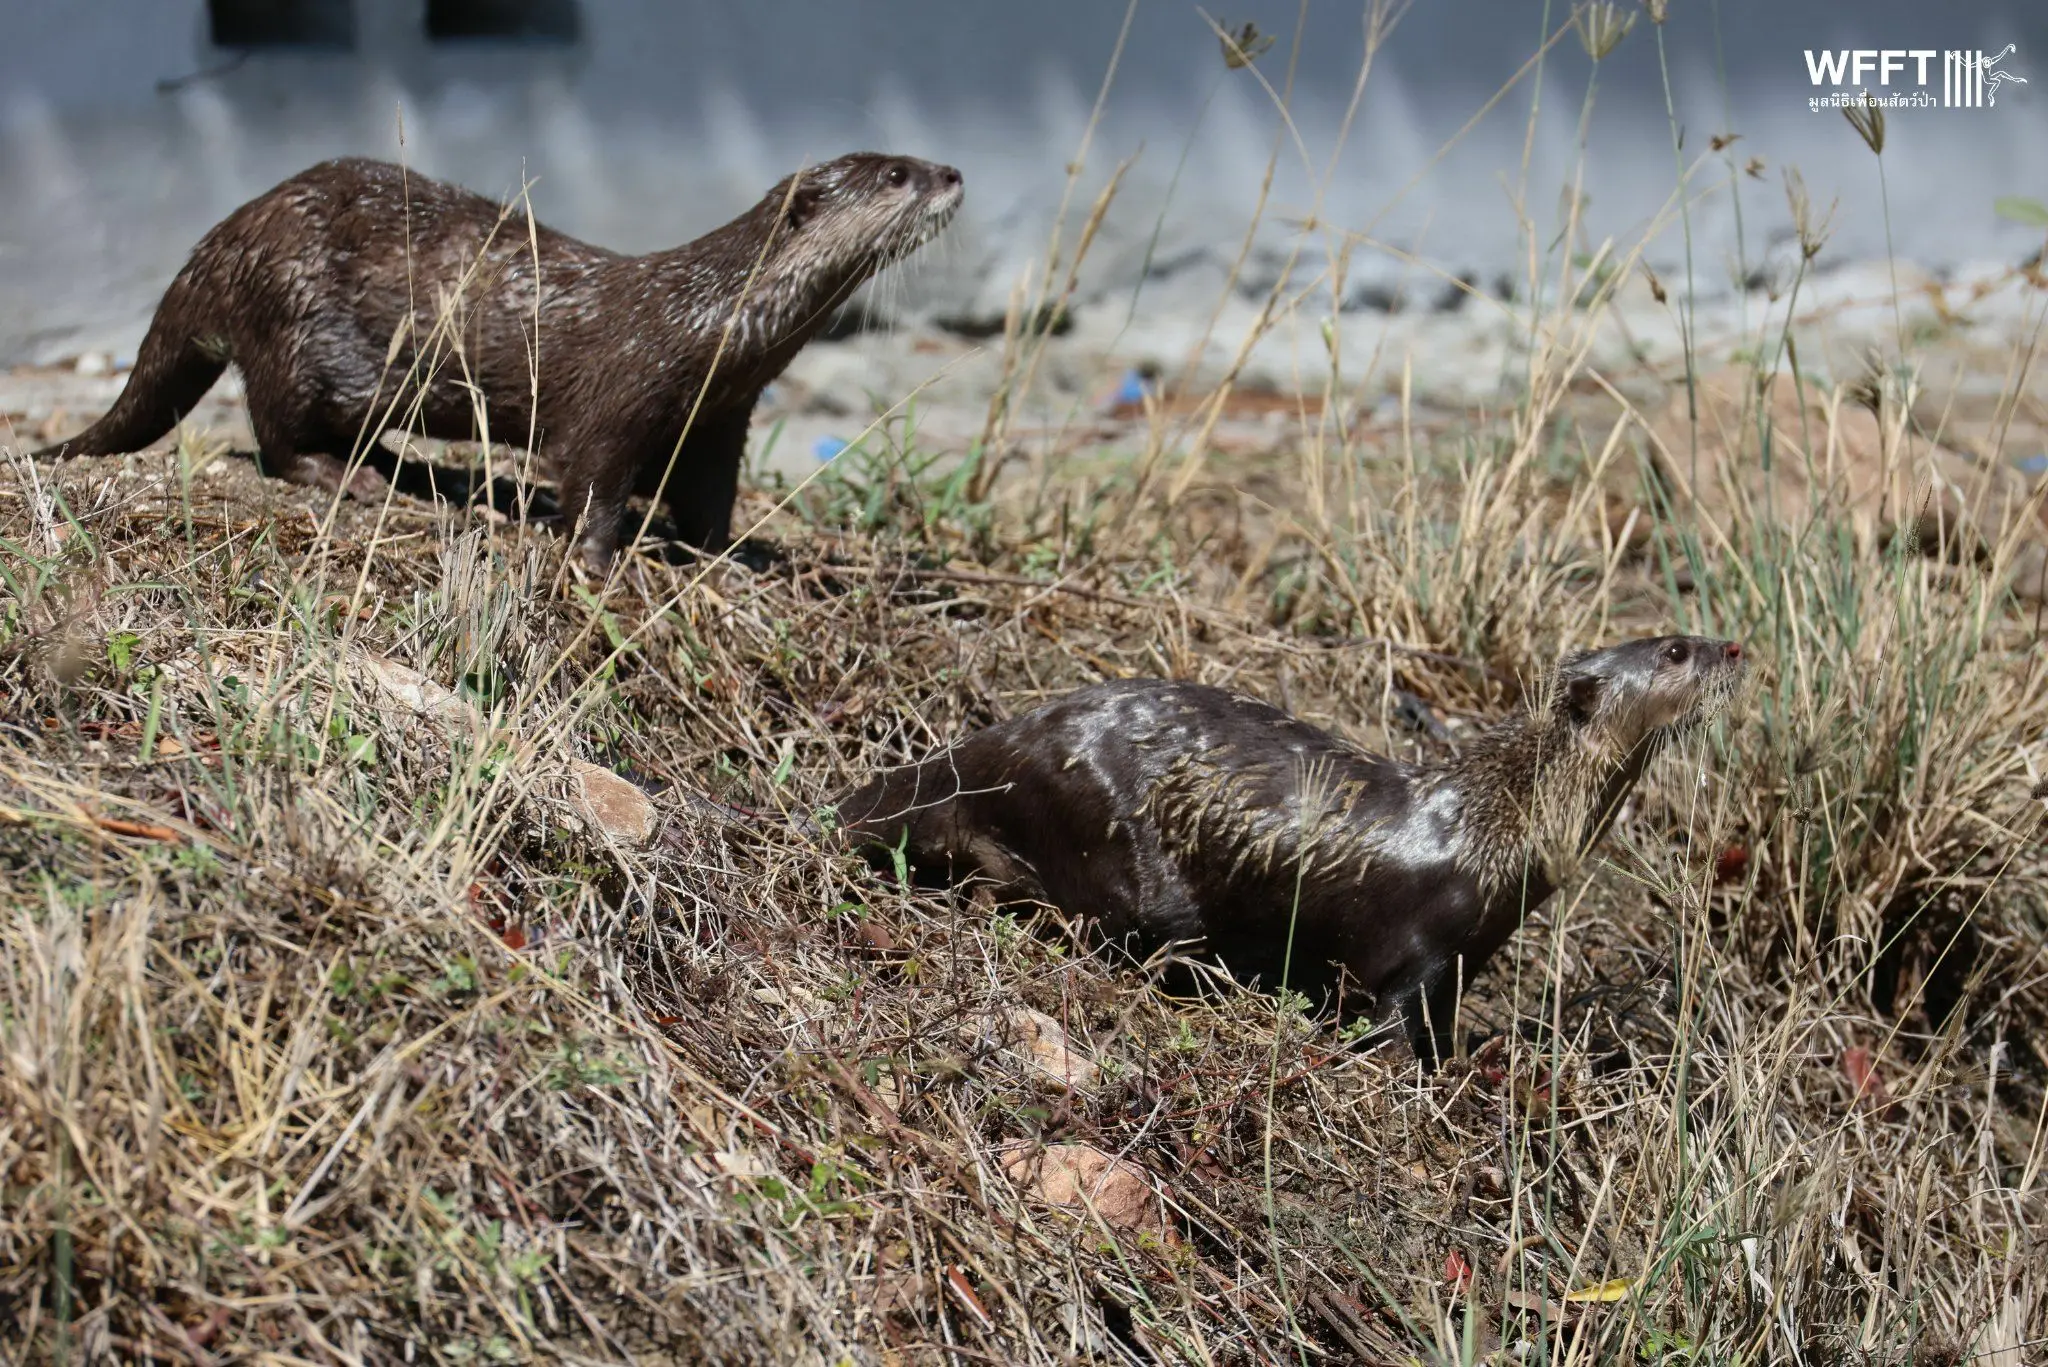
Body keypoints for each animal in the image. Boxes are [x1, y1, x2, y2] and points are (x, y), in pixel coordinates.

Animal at [33, 153, 963, 568]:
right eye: (896, 174)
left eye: (916, 162)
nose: (953, 172)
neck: (709, 320)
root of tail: (223, 241)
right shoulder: (621, 393)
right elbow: (590, 481)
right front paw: (598, 563)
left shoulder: (720, 414)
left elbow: (708, 501)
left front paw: (730, 557)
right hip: (299, 332)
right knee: (274, 429)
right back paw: (351, 477)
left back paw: (397, 468)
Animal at [834, 635, 1746, 1067]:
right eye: (1674, 649)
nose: (1735, 648)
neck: (1498, 823)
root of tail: (1011, 736)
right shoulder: (1421, 947)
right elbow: (1390, 1022)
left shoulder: (1465, 960)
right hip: (1120, 851)